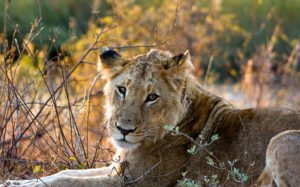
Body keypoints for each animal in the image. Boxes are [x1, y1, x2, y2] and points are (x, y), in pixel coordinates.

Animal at [2, 49, 300, 186]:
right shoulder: (117, 168)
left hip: (279, 140)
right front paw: (17, 182)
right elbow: (63, 173)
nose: (123, 130)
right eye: (122, 89)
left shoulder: (136, 182)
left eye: (152, 97)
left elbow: (67, 181)